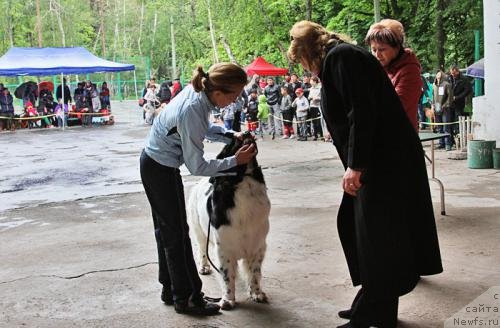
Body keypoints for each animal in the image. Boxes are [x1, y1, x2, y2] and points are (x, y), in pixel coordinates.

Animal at [188, 131, 272, 310]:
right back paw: (204, 267)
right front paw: (227, 299)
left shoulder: (258, 245)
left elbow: (255, 273)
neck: (244, 180)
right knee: (202, 248)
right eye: (233, 142)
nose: (246, 132)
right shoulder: (224, 248)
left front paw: (257, 293)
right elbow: (227, 275)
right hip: (198, 230)